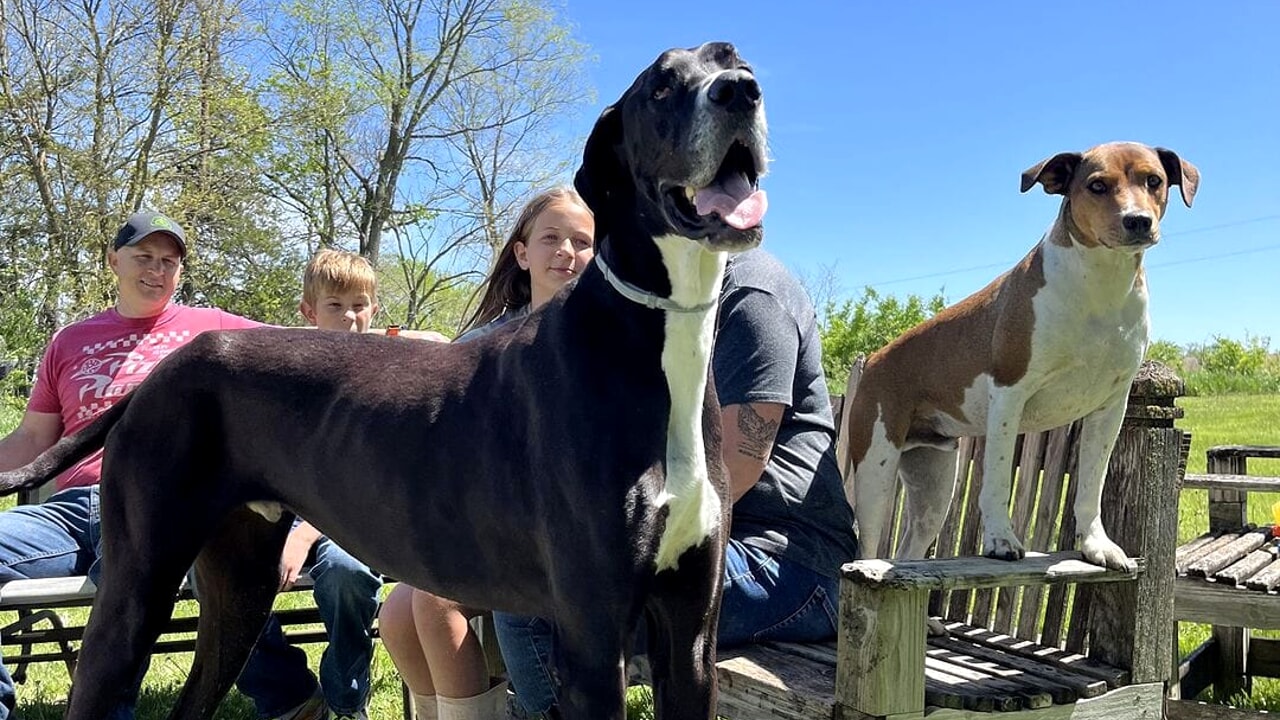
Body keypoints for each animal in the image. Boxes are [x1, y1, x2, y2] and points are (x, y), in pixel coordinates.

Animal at [844, 141, 1192, 571]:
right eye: (1097, 185)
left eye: (1153, 180)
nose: (1138, 220)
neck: (1100, 284)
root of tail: (875, 360)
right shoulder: (1009, 393)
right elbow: (996, 478)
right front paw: (999, 539)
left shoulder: (1110, 408)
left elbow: (1091, 485)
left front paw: (1097, 545)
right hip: (875, 470)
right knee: (868, 543)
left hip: (933, 486)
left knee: (910, 545)